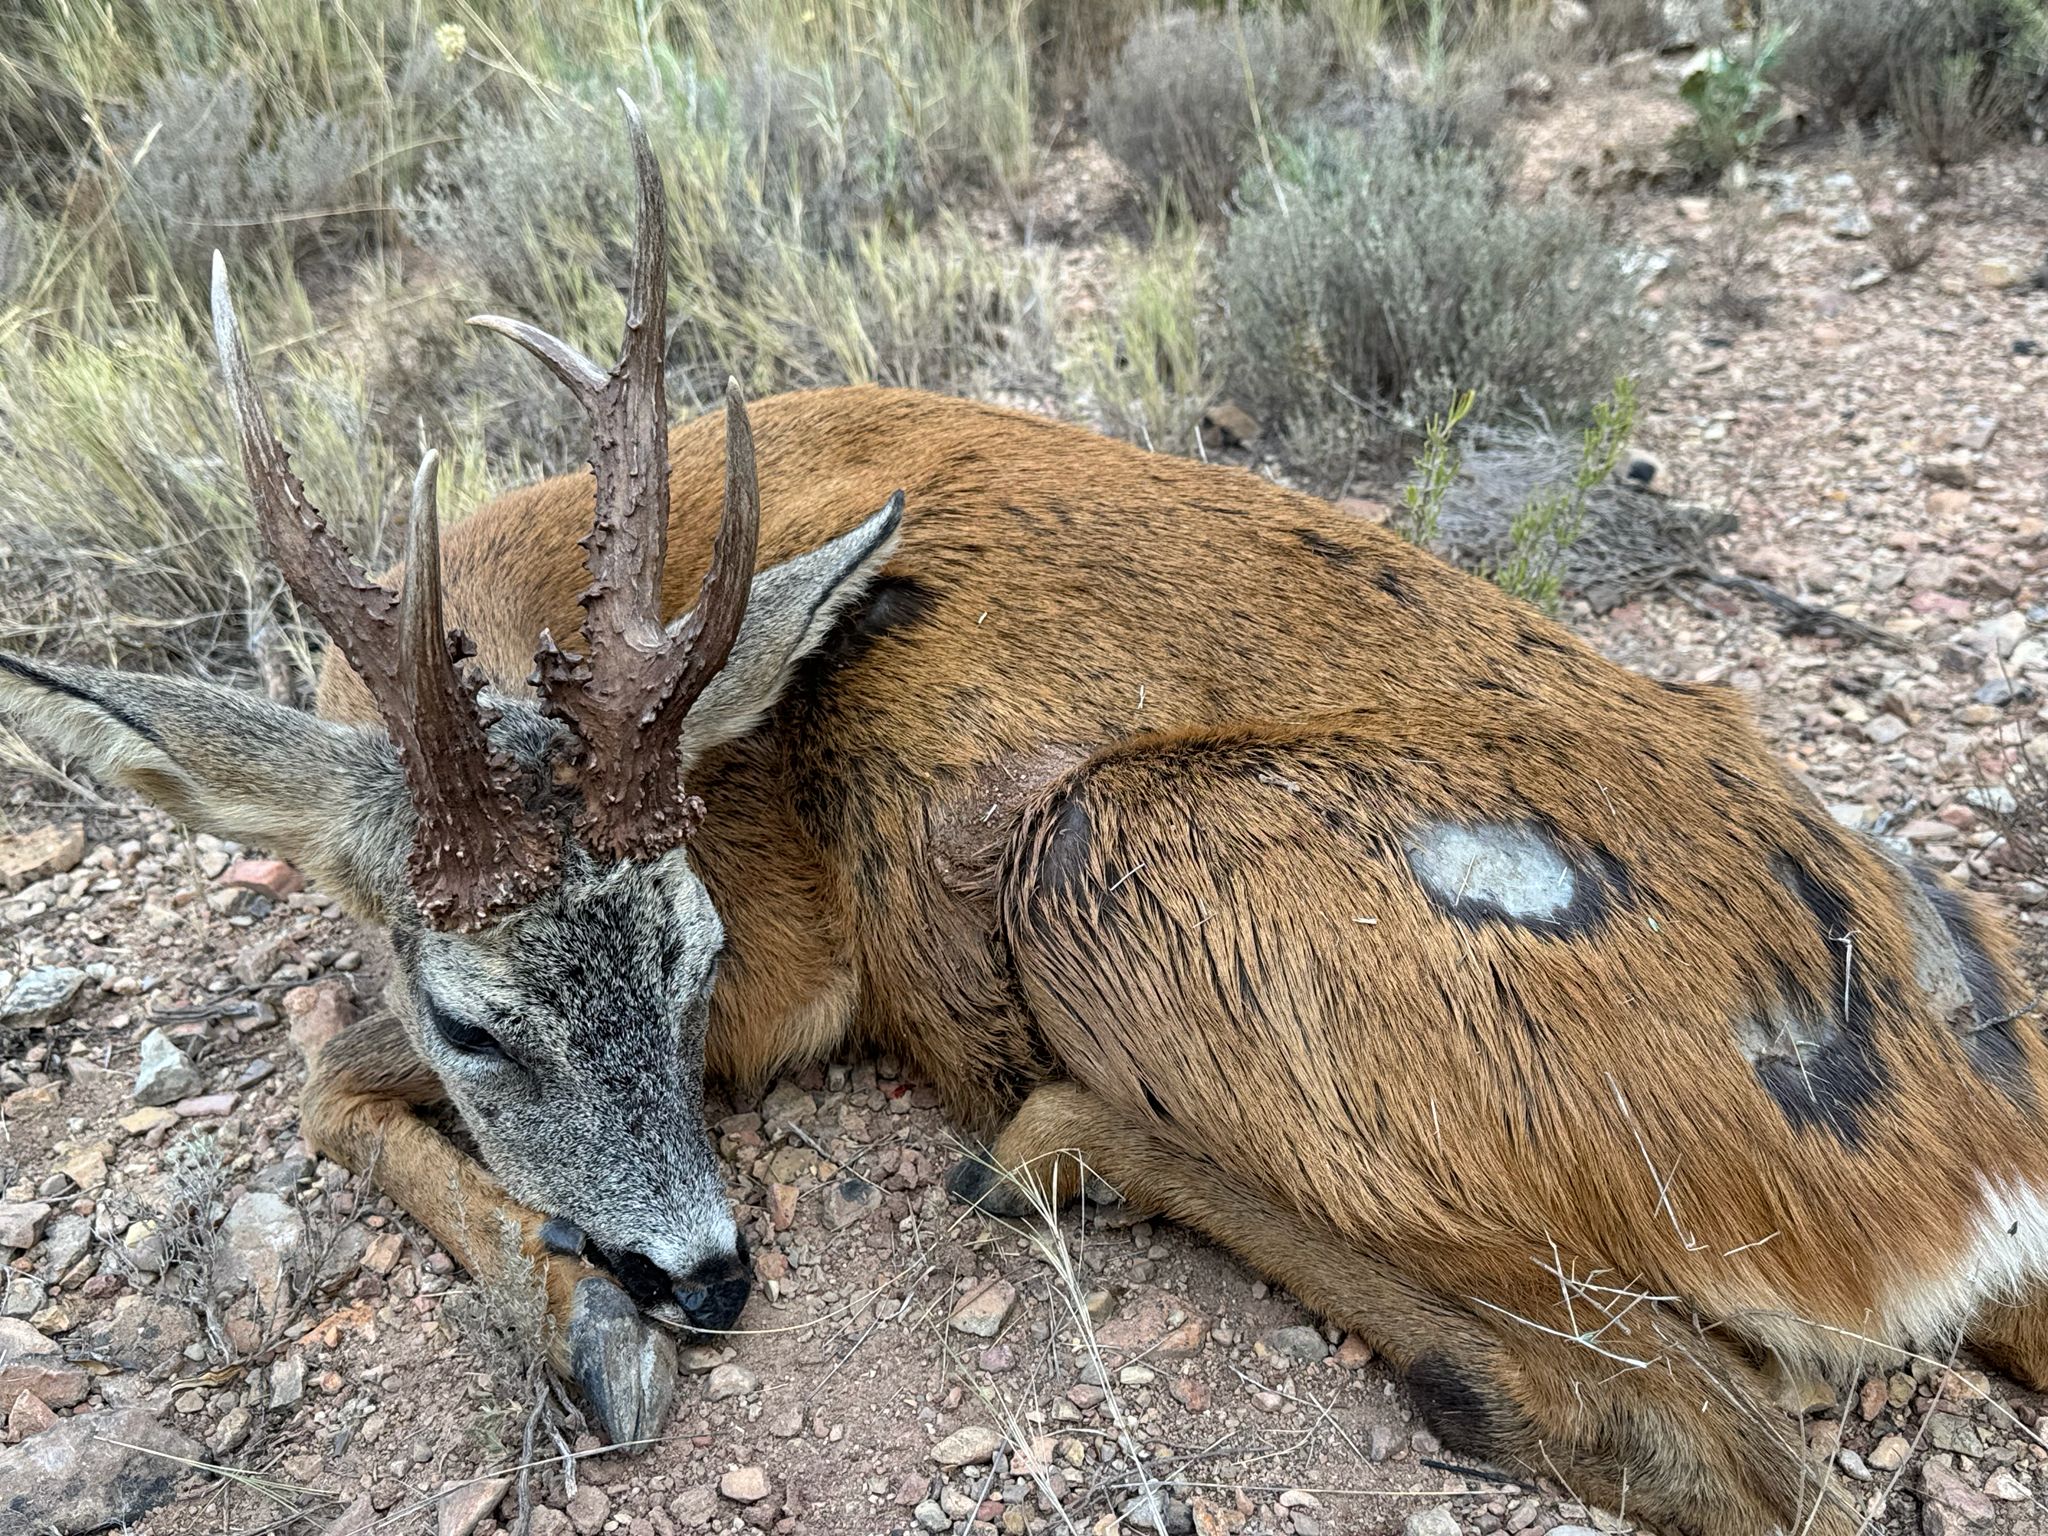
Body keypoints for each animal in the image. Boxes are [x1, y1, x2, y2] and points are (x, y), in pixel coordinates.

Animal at [0, 102, 2039, 1534]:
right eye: (478, 1015)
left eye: (696, 950)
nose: (709, 1275)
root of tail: (1981, 1177)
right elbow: (334, 1066)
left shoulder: (794, 987)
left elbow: (318, 1077)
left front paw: (592, 1337)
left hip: (1115, 864)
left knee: (1708, 1433)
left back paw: (1052, 1147)